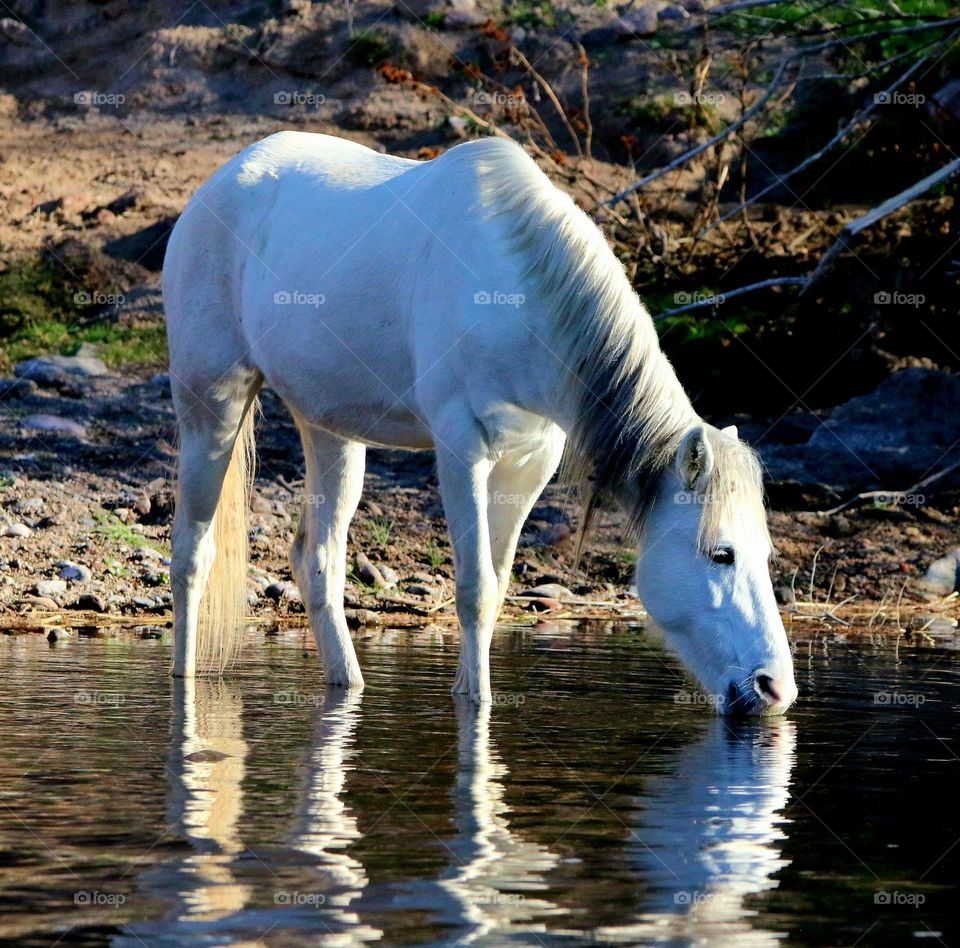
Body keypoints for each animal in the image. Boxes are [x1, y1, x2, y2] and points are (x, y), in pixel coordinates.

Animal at [163, 131, 797, 716]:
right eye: (721, 554)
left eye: (765, 553)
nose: (777, 689)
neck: (521, 300)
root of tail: (222, 180)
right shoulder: (462, 448)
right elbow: (473, 589)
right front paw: (478, 711)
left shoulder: (529, 463)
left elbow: (494, 589)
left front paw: (473, 697)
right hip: (211, 406)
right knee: (192, 554)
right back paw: (184, 683)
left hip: (329, 429)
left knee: (318, 562)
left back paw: (348, 685)